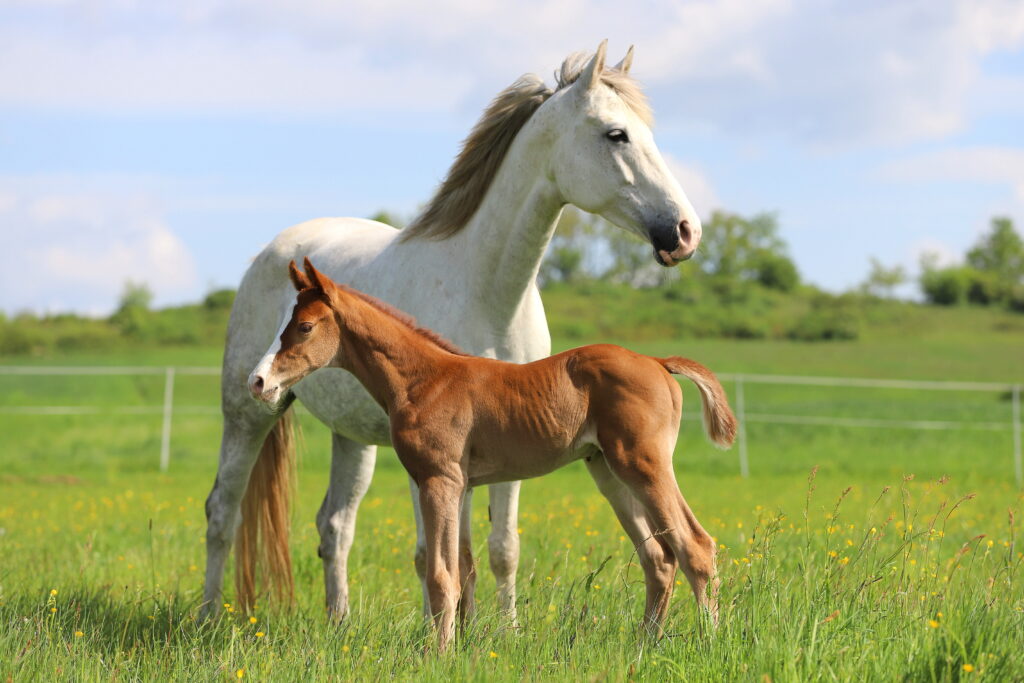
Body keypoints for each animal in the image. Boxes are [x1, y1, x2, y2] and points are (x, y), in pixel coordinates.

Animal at [202, 41, 705, 621]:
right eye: (616, 134)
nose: (685, 232)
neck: (490, 296)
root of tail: (275, 251)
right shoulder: (435, 463)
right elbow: (434, 556)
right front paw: (442, 629)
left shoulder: (505, 442)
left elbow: (498, 549)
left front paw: (501, 630)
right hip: (246, 415)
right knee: (223, 513)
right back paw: (208, 618)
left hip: (352, 437)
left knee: (335, 526)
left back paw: (339, 623)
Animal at [247, 259, 736, 650]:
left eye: (305, 327)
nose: (258, 381)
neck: (423, 380)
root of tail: (658, 362)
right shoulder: (462, 486)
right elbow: (464, 569)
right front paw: (461, 645)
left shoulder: (438, 480)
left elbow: (441, 575)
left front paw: (438, 655)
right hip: (609, 473)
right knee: (659, 558)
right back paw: (644, 643)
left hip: (644, 464)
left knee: (695, 547)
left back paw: (708, 642)